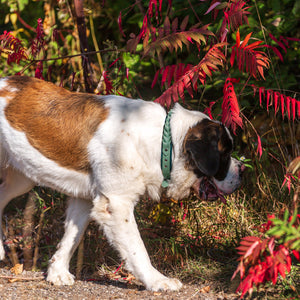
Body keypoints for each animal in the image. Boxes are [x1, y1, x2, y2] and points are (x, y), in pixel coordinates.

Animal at [0, 76, 244, 292]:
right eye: (225, 154)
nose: (243, 169)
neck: (165, 142)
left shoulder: (84, 198)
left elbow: (72, 237)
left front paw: (57, 272)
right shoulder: (116, 203)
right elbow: (137, 248)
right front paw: (157, 281)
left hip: (21, 179)